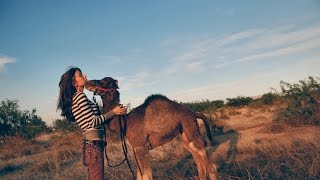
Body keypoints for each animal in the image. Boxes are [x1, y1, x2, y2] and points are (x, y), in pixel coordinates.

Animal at [85, 76, 218, 179]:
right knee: (199, 162)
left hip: (191, 128)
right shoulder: (136, 149)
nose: (87, 82)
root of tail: (194, 113)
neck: (125, 122)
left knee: (210, 165)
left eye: (103, 82)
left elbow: (146, 176)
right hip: (185, 134)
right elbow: (140, 176)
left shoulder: (141, 147)